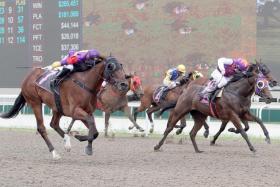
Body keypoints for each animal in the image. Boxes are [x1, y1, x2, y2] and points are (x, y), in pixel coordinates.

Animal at [0, 56, 128, 159]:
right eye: (111, 67)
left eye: (121, 68)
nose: (124, 84)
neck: (85, 84)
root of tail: (28, 77)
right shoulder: (75, 111)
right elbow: (91, 124)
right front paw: (87, 146)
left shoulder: (86, 112)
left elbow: (95, 131)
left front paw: (79, 137)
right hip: (35, 102)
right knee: (42, 128)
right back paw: (54, 153)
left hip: (57, 107)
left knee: (54, 124)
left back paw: (67, 142)